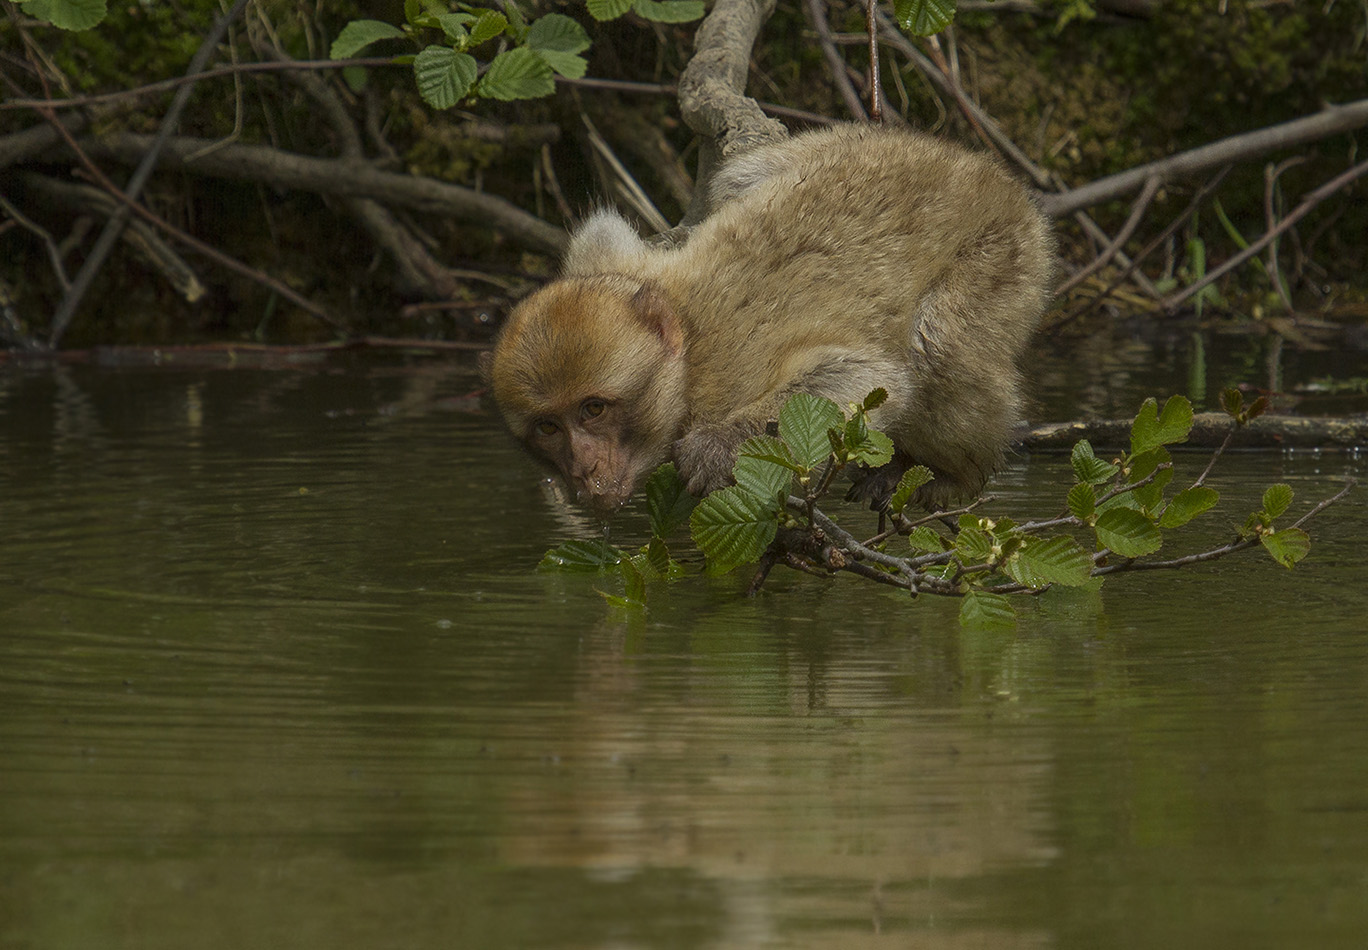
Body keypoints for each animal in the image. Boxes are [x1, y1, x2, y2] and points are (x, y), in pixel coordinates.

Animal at [484, 124, 1056, 520]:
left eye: (594, 409)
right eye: (549, 427)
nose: (583, 472)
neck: (688, 361)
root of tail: (994, 178)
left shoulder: (730, 371)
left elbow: (872, 378)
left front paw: (714, 448)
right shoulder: (614, 266)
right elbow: (605, 233)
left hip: (1007, 252)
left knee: (939, 347)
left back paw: (959, 475)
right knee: (735, 177)